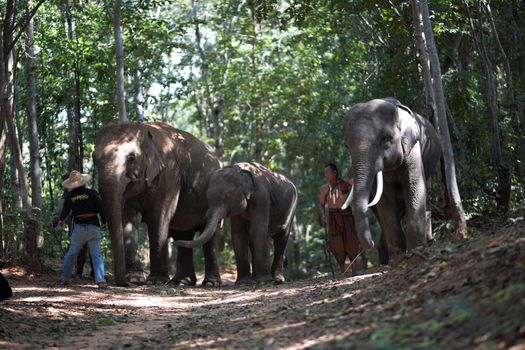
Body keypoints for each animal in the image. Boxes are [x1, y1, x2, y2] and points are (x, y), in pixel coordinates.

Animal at [93, 121, 222, 286]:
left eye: (131, 158)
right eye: (94, 158)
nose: (125, 283)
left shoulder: (170, 174)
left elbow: (158, 216)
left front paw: (156, 281)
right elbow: (126, 217)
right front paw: (135, 279)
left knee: (209, 234)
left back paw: (210, 283)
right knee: (184, 234)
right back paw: (181, 282)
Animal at [342, 97, 440, 264]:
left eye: (385, 139)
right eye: (347, 146)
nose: (370, 243)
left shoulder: (413, 147)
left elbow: (414, 187)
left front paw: (417, 252)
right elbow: (385, 199)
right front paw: (398, 258)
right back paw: (385, 258)